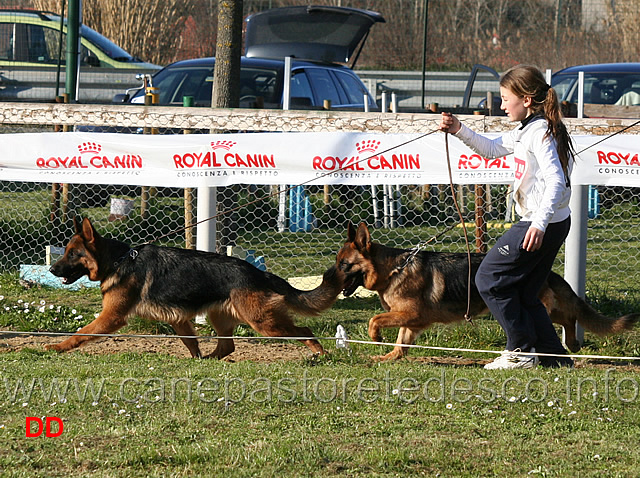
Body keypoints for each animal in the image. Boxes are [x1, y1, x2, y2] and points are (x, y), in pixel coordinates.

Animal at [48, 217, 344, 358]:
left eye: (72, 255)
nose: (51, 270)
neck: (119, 260)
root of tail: (259, 273)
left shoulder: (111, 317)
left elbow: (81, 333)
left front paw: (58, 347)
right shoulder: (178, 320)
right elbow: (191, 342)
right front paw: (196, 360)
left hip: (264, 323)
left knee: (304, 331)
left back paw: (321, 356)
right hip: (221, 317)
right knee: (227, 347)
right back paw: (212, 360)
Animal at [338, 222, 636, 360]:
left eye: (343, 265)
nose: (330, 283)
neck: (393, 269)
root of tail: (548, 273)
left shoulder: (411, 314)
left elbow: (374, 319)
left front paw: (376, 338)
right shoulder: (412, 321)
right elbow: (402, 342)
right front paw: (390, 356)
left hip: (536, 305)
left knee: (569, 316)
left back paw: (568, 343)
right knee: (568, 317)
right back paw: (570, 345)